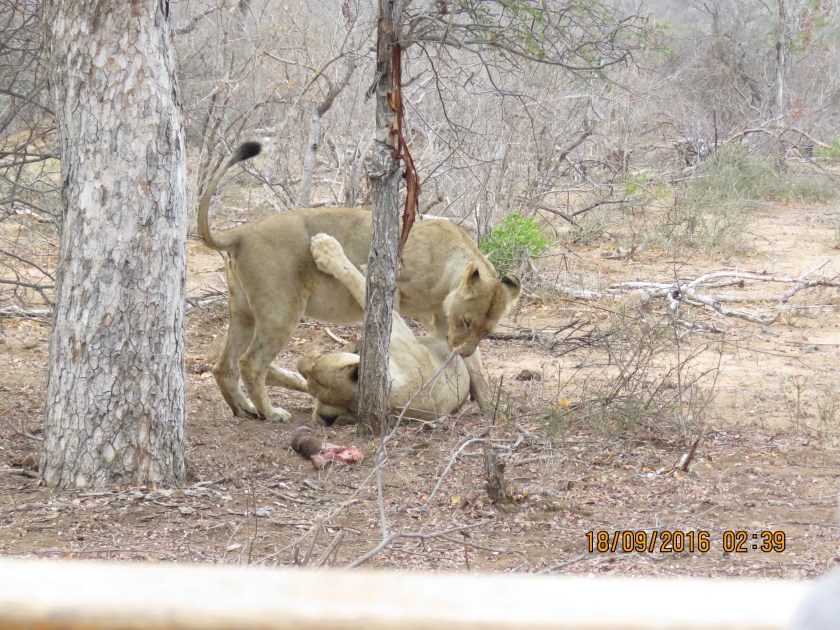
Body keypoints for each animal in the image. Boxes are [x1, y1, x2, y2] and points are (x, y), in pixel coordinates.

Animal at [297, 233, 470, 425]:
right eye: (308, 377)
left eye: (315, 367)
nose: (300, 361)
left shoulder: (393, 326)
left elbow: (354, 278)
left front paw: (324, 247)